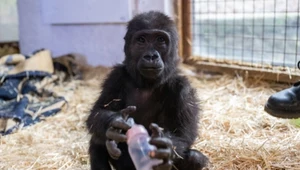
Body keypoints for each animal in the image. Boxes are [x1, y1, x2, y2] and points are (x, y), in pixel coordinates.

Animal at [86, 10, 209, 170]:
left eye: (160, 40)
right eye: (142, 40)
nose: (151, 56)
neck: (147, 84)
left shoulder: (184, 89)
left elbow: (184, 134)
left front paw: (165, 148)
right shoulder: (115, 77)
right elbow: (97, 113)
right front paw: (115, 123)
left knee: (195, 158)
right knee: (98, 140)